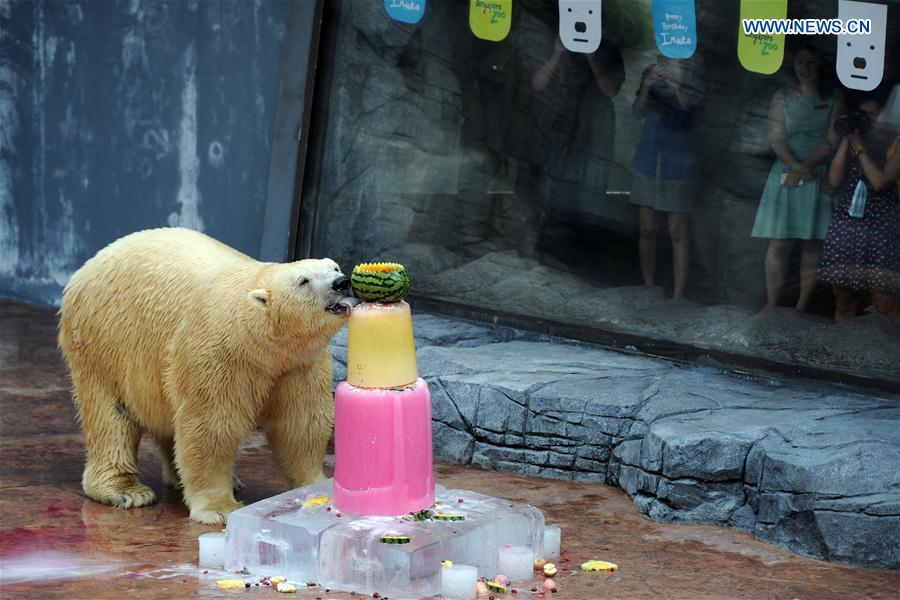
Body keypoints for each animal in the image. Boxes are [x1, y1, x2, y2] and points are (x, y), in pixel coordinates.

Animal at [58, 227, 354, 524]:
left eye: (334, 267)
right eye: (303, 280)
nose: (341, 282)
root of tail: (86, 268)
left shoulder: (299, 364)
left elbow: (301, 423)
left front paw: (316, 484)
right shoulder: (218, 356)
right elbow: (211, 427)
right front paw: (220, 508)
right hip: (103, 340)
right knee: (110, 414)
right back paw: (126, 490)